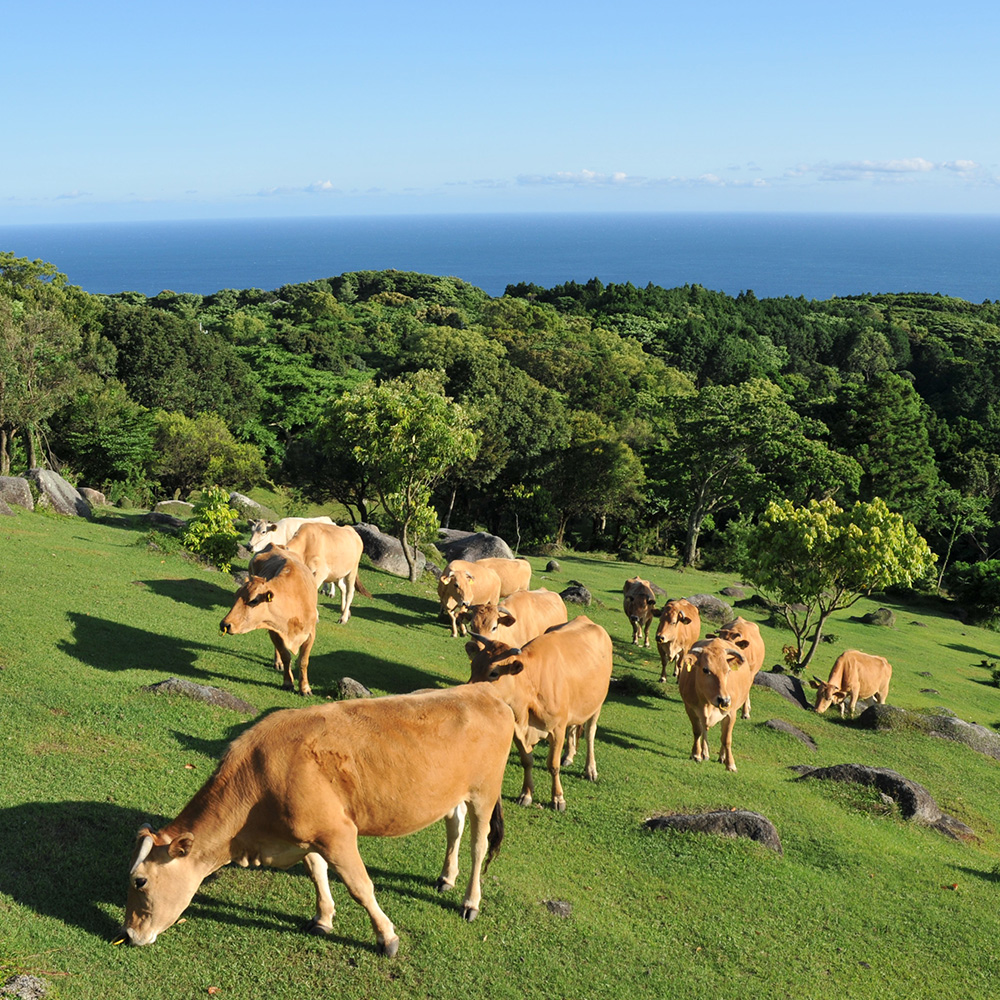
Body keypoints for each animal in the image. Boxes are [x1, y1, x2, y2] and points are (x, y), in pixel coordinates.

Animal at [115, 684, 516, 956]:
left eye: (139, 881)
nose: (129, 934)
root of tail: (484, 691)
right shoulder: (308, 833)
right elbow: (316, 871)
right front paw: (323, 918)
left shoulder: (339, 832)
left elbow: (360, 886)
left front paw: (386, 937)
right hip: (454, 793)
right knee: (454, 825)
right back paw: (446, 878)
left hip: (485, 790)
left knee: (479, 845)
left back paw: (470, 902)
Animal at [221, 548, 318, 696]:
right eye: (235, 596)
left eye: (253, 600)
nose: (225, 624)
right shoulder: (274, 628)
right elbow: (285, 655)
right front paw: (288, 683)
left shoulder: (311, 632)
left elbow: (303, 661)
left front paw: (305, 688)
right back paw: (278, 663)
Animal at [464, 616, 612, 812]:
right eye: (473, 665)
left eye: (493, 673)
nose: (467, 691)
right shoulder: (518, 730)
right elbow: (527, 761)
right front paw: (526, 794)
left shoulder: (557, 730)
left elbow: (553, 765)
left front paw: (558, 798)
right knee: (574, 727)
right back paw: (569, 756)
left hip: (597, 704)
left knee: (590, 734)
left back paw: (590, 769)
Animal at [676, 640, 752, 772]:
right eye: (706, 670)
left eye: (728, 671)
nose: (724, 700)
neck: (707, 703)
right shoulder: (690, 708)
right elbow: (697, 731)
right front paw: (696, 754)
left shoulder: (731, 714)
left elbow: (726, 739)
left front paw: (730, 764)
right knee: (704, 729)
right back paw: (705, 753)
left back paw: (722, 757)